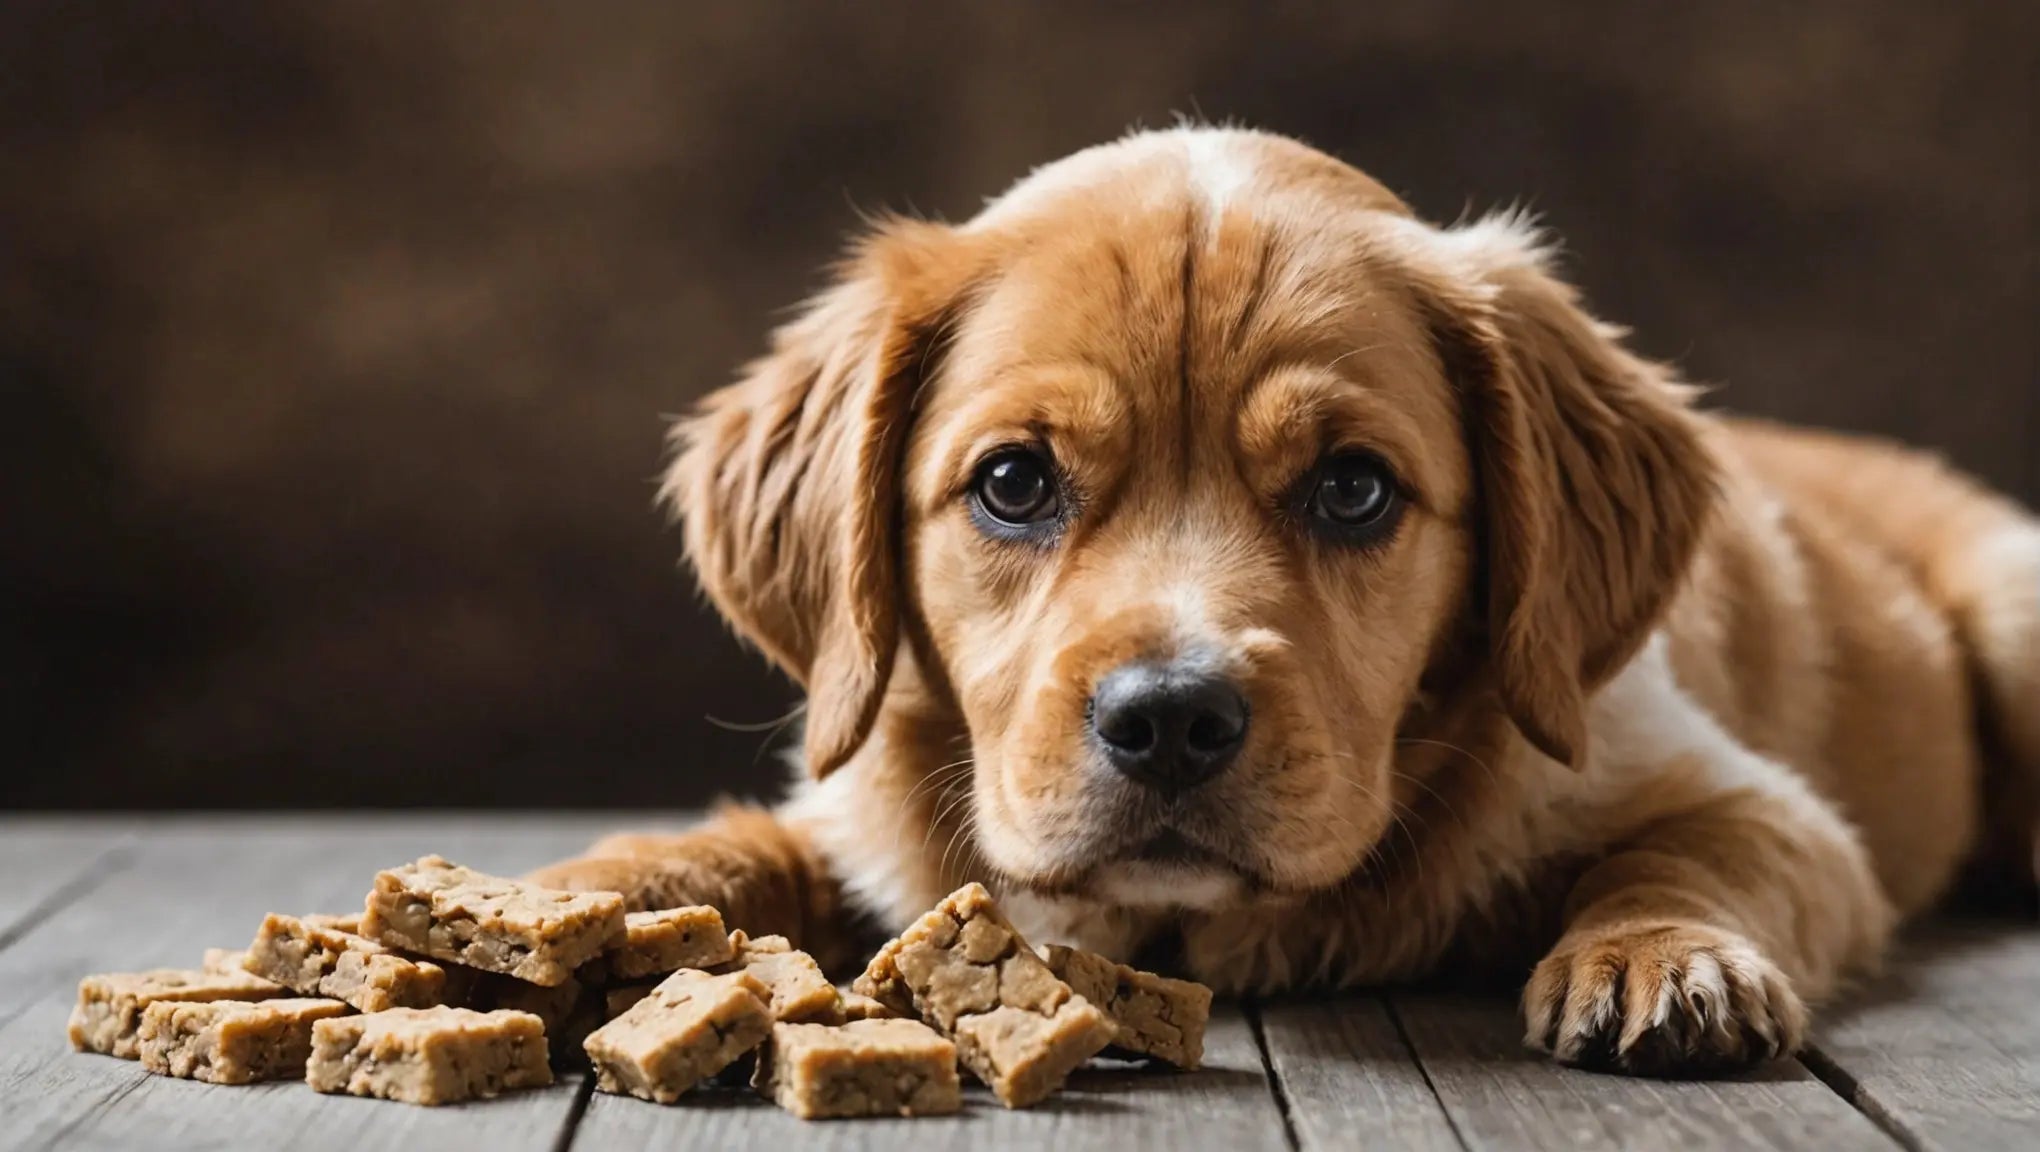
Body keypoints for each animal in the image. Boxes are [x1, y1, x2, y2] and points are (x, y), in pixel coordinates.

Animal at [530, 127, 2040, 1076]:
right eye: (1013, 483)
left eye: (1354, 490)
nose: (1169, 723)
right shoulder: (861, 819)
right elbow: (746, 847)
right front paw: (593, 893)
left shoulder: (1760, 803)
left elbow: (1690, 854)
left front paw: (1662, 962)